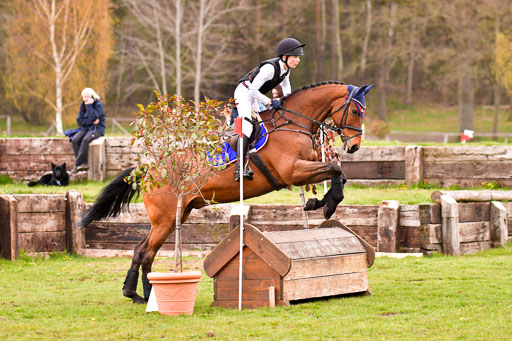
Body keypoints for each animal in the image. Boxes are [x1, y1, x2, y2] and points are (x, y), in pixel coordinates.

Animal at [82, 81, 374, 302]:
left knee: (144, 251)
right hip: (164, 219)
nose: (354, 146)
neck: (293, 122)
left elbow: (338, 171)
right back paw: (136, 294)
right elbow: (334, 169)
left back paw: (143, 293)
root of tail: (150, 169)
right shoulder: (291, 171)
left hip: (177, 215)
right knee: (144, 252)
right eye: (355, 111)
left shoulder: (307, 165)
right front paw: (326, 204)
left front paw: (320, 202)